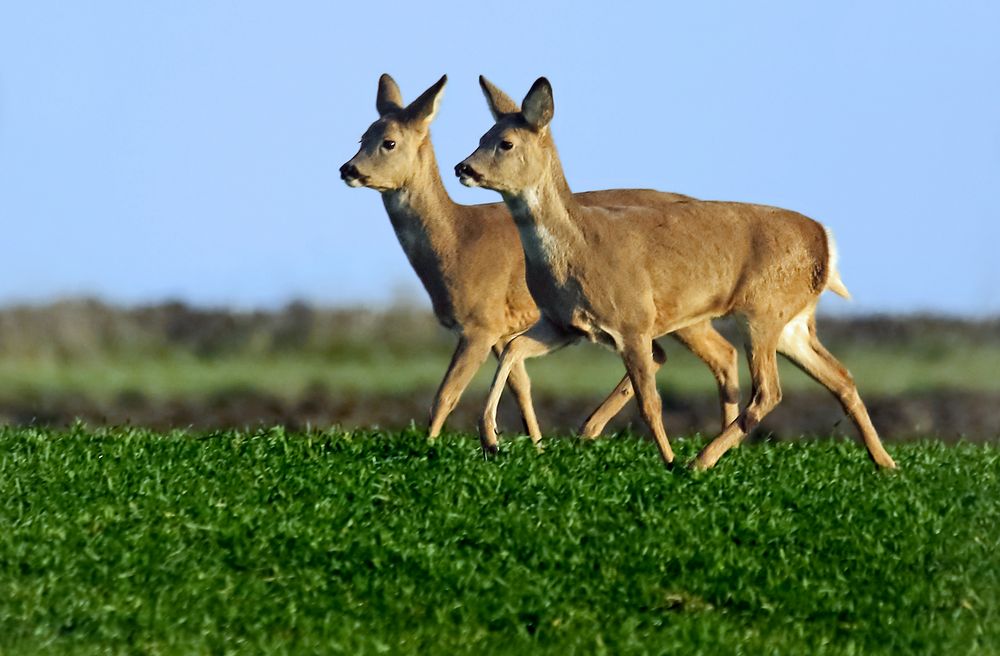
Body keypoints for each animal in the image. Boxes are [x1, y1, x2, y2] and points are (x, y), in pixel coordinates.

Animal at [344, 74, 744, 444]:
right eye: (361, 138)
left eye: (389, 142)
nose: (348, 169)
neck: (455, 244)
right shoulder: (505, 330)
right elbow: (521, 387)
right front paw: (531, 445)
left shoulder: (481, 322)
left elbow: (446, 395)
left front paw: (429, 448)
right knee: (706, 354)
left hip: (677, 311)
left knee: (717, 354)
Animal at [460, 77, 900, 468]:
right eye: (482, 135)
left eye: (506, 143)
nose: (462, 167)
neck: (577, 249)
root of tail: (825, 241)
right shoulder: (564, 325)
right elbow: (513, 348)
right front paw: (490, 438)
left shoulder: (632, 321)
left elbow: (649, 401)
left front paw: (668, 460)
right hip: (791, 322)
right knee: (841, 377)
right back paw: (885, 463)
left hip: (763, 310)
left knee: (769, 391)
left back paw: (698, 462)